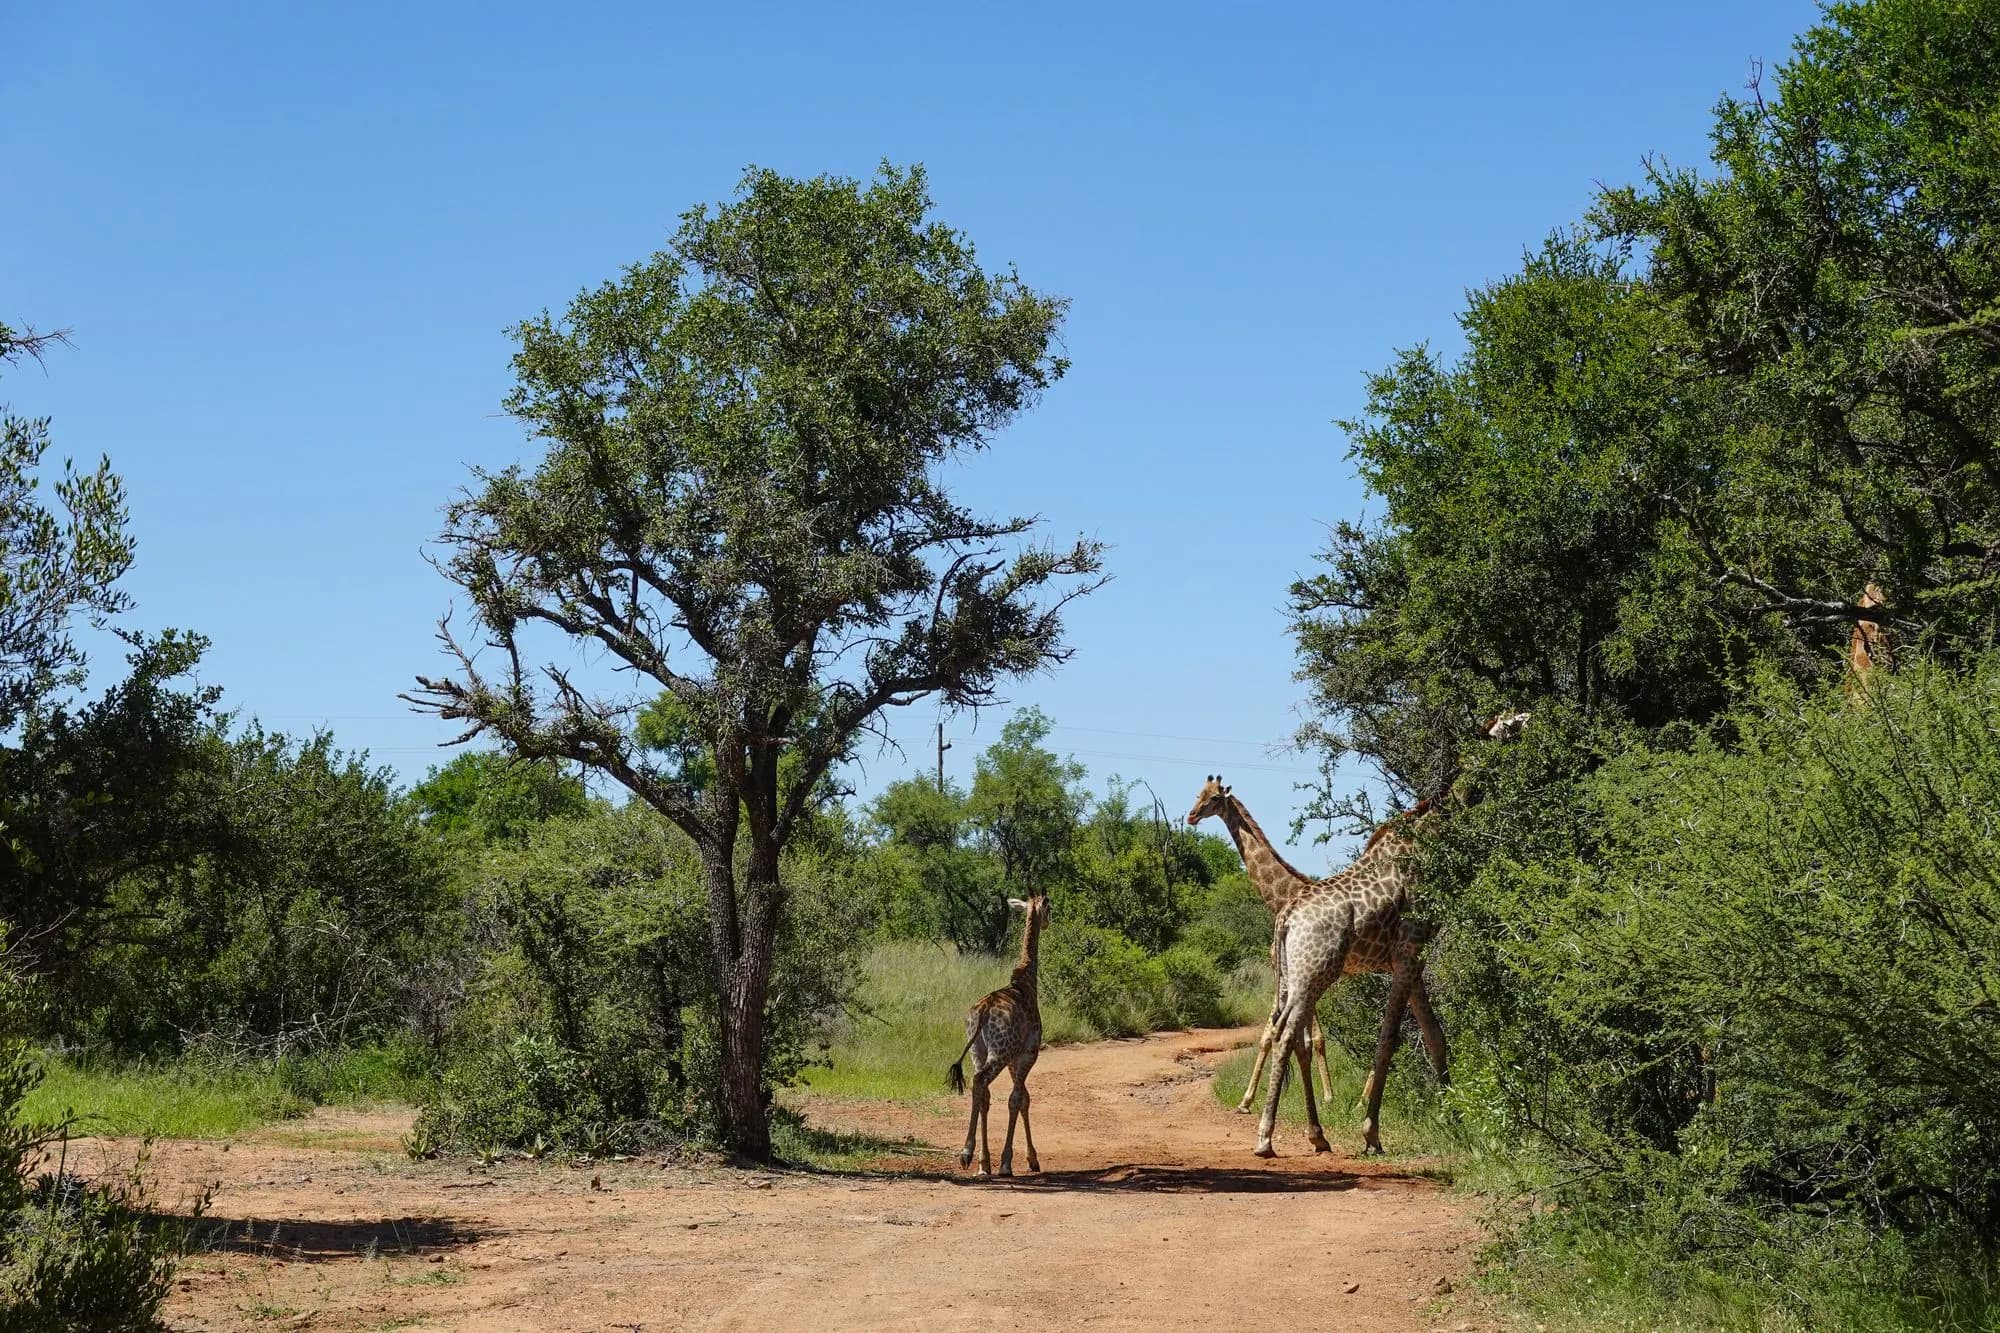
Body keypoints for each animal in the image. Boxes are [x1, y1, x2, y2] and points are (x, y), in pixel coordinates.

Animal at [946, 894, 1051, 1177]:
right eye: (1050, 909)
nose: (1049, 923)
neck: (1026, 984)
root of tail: (983, 1012)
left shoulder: (1015, 1059)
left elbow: (1022, 1098)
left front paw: (1023, 1160)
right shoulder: (1027, 1054)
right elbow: (1017, 1099)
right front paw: (1007, 1163)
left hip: (977, 1051)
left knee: (981, 1090)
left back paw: (980, 1162)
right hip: (999, 1052)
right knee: (981, 1081)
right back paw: (967, 1153)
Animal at [1205, 711, 1530, 1157]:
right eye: (1510, 726)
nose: (1532, 721)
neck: (1426, 844)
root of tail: (1286, 918)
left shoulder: (1408, 958)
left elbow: (1434, 1037)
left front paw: (1457, 1122)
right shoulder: (1409, 948)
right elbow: (1390, 1038)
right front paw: (1371, 1131)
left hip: (1295, 977)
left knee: (1286, 1031)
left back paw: (1313, 1134)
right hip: (1314, 974)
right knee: (1286, 1033)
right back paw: (1266, 1136)